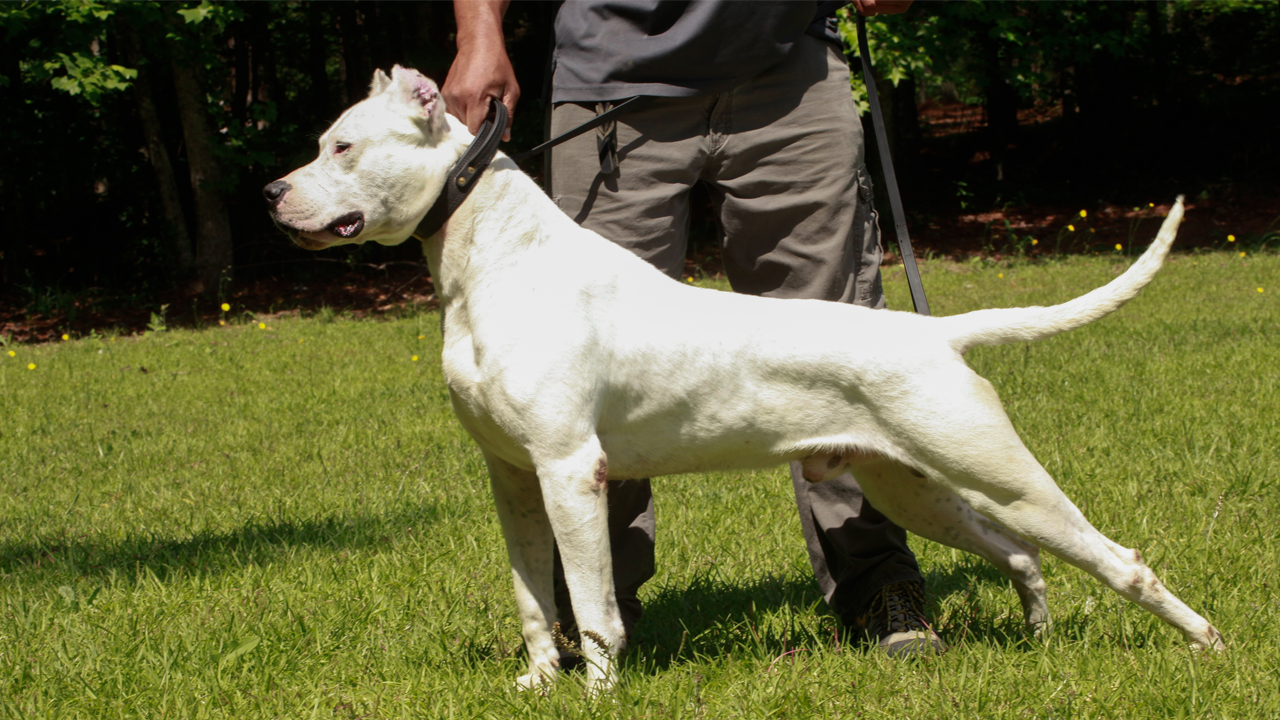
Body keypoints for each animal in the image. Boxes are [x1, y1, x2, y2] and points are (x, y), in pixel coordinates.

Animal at [264, 68, 1223, 691]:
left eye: (342, 146)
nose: (271, 194)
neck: (493, 258)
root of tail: (932, 332)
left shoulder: (570, 472)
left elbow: (594, 604)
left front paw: (596, 693)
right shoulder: (512, 478)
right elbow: (536, 597)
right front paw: (538, 684)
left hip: (998, 471)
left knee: (1118, 560)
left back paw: (1207, 645)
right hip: (916, 485)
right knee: (1022, 555)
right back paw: (1041, 637)